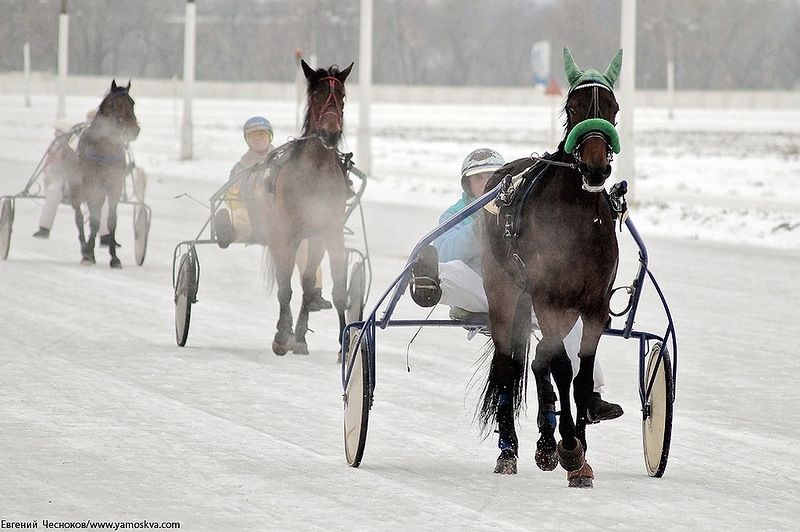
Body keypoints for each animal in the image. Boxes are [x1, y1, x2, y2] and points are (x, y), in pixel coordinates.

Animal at [71, 79, 140, 268]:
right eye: (116, 104)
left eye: (132, 103)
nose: (134, 129)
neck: (105, 150)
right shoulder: (93, 187)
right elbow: (94, 221)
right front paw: (88, 254)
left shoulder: (115, 187)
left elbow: (111, 221)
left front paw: (114, 258)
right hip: (77, 190)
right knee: (79, 217)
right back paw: (85, 248)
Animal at [268, 60, 354, 356]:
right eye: (316, 94)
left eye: (341, 95)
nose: (331, 133)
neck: (315, 171)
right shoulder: (288, 234)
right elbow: (285, 287)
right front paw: (282, 336)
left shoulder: (330, 232)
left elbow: (338, 289)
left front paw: (344, 345)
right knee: (285, 280)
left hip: (314, 240)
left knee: (306, 282)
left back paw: (301, 336)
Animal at [478, 47, 620, 488]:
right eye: (573, 107)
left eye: (613, 108)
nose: (595, 168)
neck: (576, 219)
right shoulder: (547, 296)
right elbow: (561, 366)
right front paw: (572, 450)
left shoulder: (595, 304)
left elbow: (581, 376)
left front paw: (579, 452)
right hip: (505, 291)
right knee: (508, 364)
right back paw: (509, 451)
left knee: (537, 356)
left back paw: (545, 443)